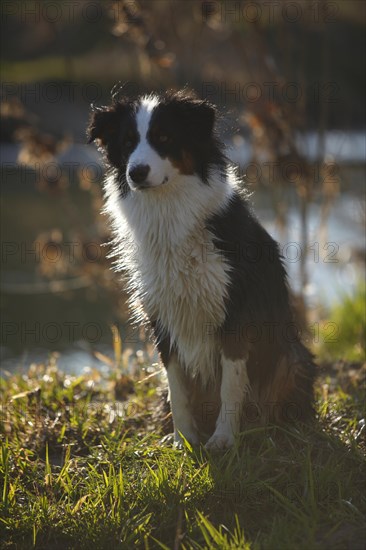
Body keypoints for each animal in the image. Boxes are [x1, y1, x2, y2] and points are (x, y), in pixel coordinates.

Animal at [87, 89, 316, 452]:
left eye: (164, 138)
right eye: (127, 143)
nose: (136, 172)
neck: (169, 212)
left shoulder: (236, 312)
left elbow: (231, 386)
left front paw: (223, 440)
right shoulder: (163, 318)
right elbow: (177, 389)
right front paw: (184, 441)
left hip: (293, 359)